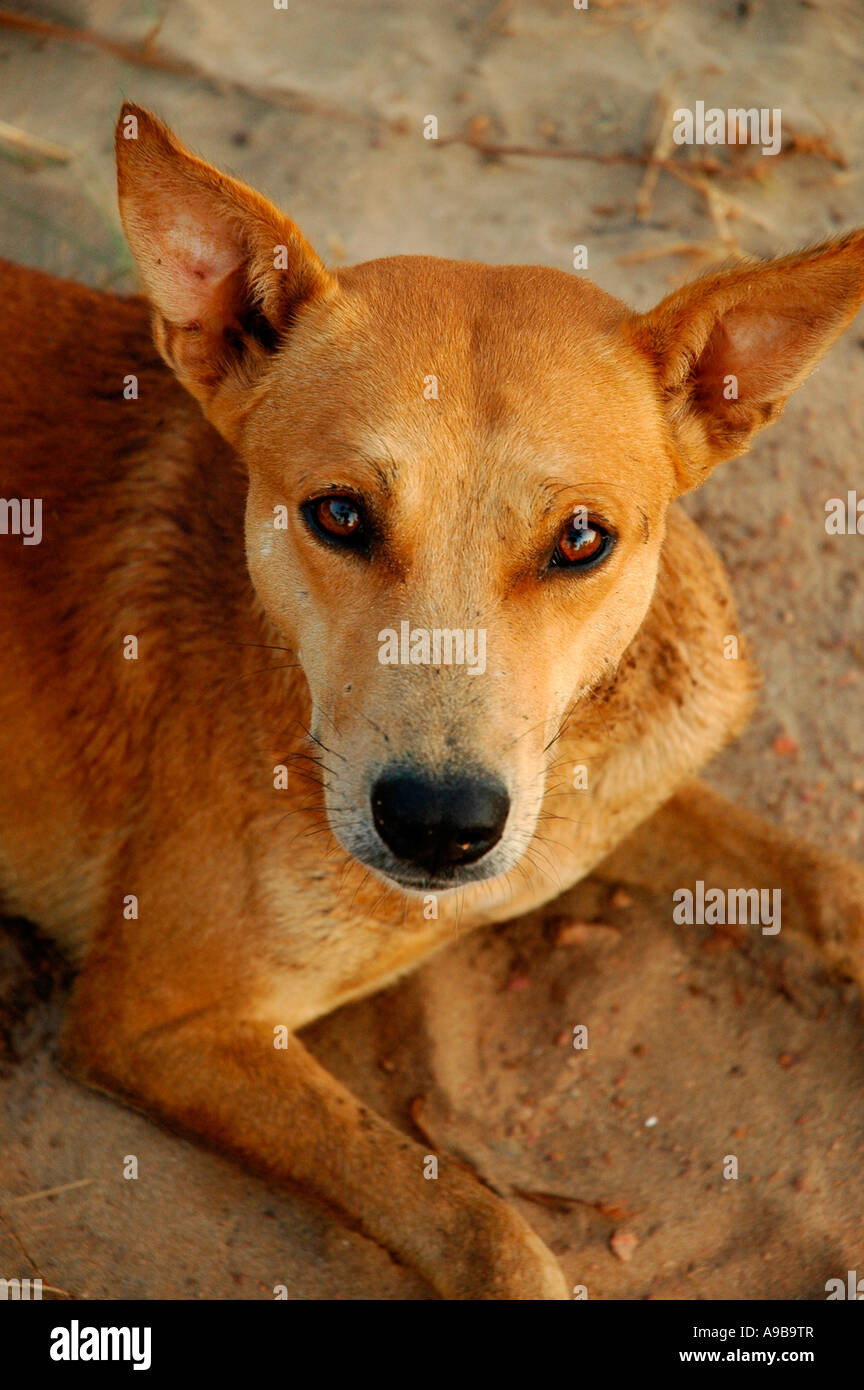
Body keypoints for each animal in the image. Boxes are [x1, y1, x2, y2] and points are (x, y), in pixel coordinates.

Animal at [1, 100, 864, 1301]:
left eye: (581, 538)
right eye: (338, 514)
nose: (442, 825)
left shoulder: (598, 800)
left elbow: (827, 882)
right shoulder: (158, 1016)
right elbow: (476, 1223)